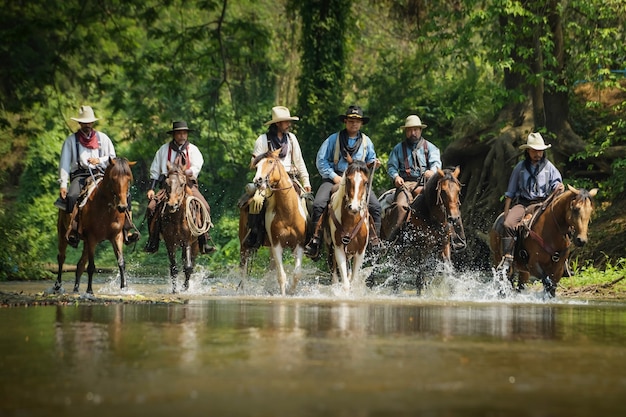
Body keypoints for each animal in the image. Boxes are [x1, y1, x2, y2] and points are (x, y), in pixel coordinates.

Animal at [54, 155, 135, 292]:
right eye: (113, 179)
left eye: (129, 179)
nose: (122, 207)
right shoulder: (92, 238)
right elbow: (91, 266)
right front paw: (89, 291)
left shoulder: (116, 236)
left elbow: (121, 262)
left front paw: (124, 288)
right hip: (63, 232)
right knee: (61, 257)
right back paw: (58, 286)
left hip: (86, 242)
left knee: (80, 264)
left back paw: (76, 289)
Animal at [160, 160, 206, 292]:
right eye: (166, 183)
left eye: (182, 184)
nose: (172, 204)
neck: (177, 219)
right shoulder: (170, 243)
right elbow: (174, 268)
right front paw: (174, 289)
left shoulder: (187, 242)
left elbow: (188, 267)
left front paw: (185, 288)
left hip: (195, 245)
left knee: (191, 263)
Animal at [238, 148, 306, 294]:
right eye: (256, 166)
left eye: (270, 162)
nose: (258, 181)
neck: (288, 212)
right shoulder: (276, 245)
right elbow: (281, 276)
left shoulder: (299, 245)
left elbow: (296, 274)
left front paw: (291, 291)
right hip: (244, 245)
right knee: (243, 269)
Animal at [322, 160, 370, 292]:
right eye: (348, 180)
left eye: (365, 182)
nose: (354, 207)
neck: (351, 222)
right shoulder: (338, 249)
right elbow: (346, 284)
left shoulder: (360, 252)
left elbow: (352, 280)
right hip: (330, 249)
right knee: (334, 274)